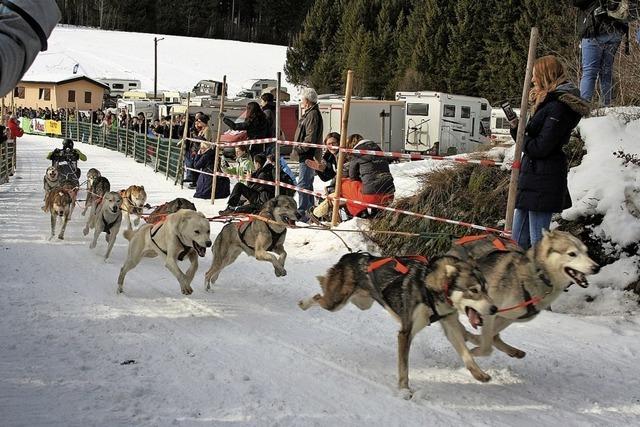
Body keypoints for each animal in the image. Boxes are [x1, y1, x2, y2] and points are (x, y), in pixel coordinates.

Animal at [298, 252, 498, 396]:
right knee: (318, 297)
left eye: (487, 289)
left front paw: (479, 374)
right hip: (336, 303)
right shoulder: (405, 333)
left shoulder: (450, 325)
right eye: (474, 290)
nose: (495, 308)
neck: (428, 286)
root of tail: (350, 256)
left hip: (361, 303)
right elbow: (404, 367)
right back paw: (303, 303)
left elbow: (467, 354)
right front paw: (404, 389)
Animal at [450, 231, 600, 362]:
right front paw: (472, 347)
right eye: (572, 254)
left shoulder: (506, 317)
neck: (537, 275)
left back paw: (512, 350)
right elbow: (486, 345)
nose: (596, 267)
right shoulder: (489, 313)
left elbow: (489, 338)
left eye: (586, 252)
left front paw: (473, 340)